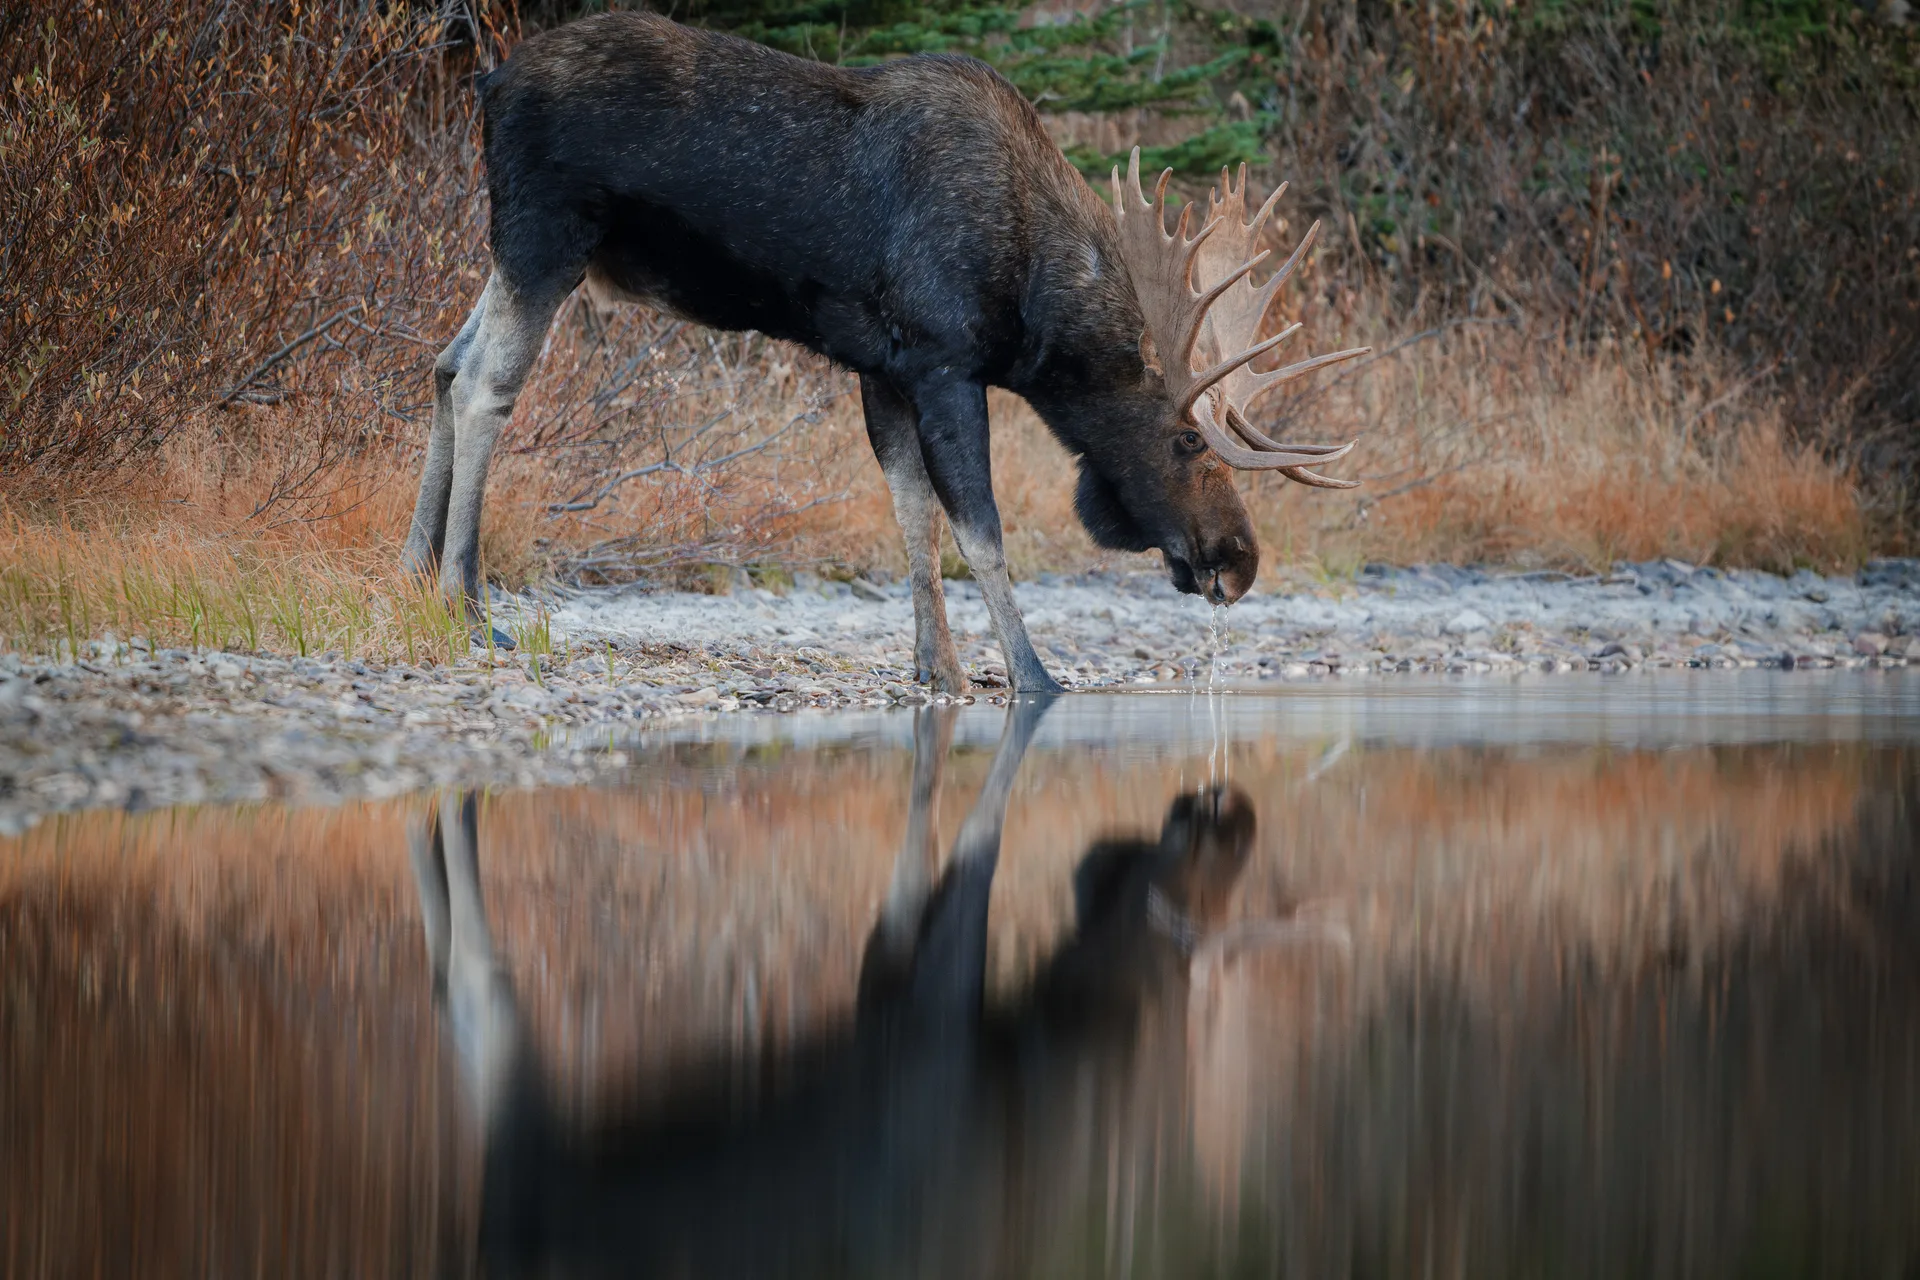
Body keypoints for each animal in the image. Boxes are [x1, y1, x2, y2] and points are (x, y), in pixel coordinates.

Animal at [401, 10, 1368, 692]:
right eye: (1190, 439)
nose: (1239, 559)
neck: (1036, 307)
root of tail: (487, 81)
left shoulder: (881, 369)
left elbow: (912, 514)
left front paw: (938, 666)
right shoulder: (944, 363)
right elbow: (979, 528)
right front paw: (1032, 674)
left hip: (519, 251)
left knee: (445, 363)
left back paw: (413, 574)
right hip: (547, 234)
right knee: (485, 383)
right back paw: (467, 603)